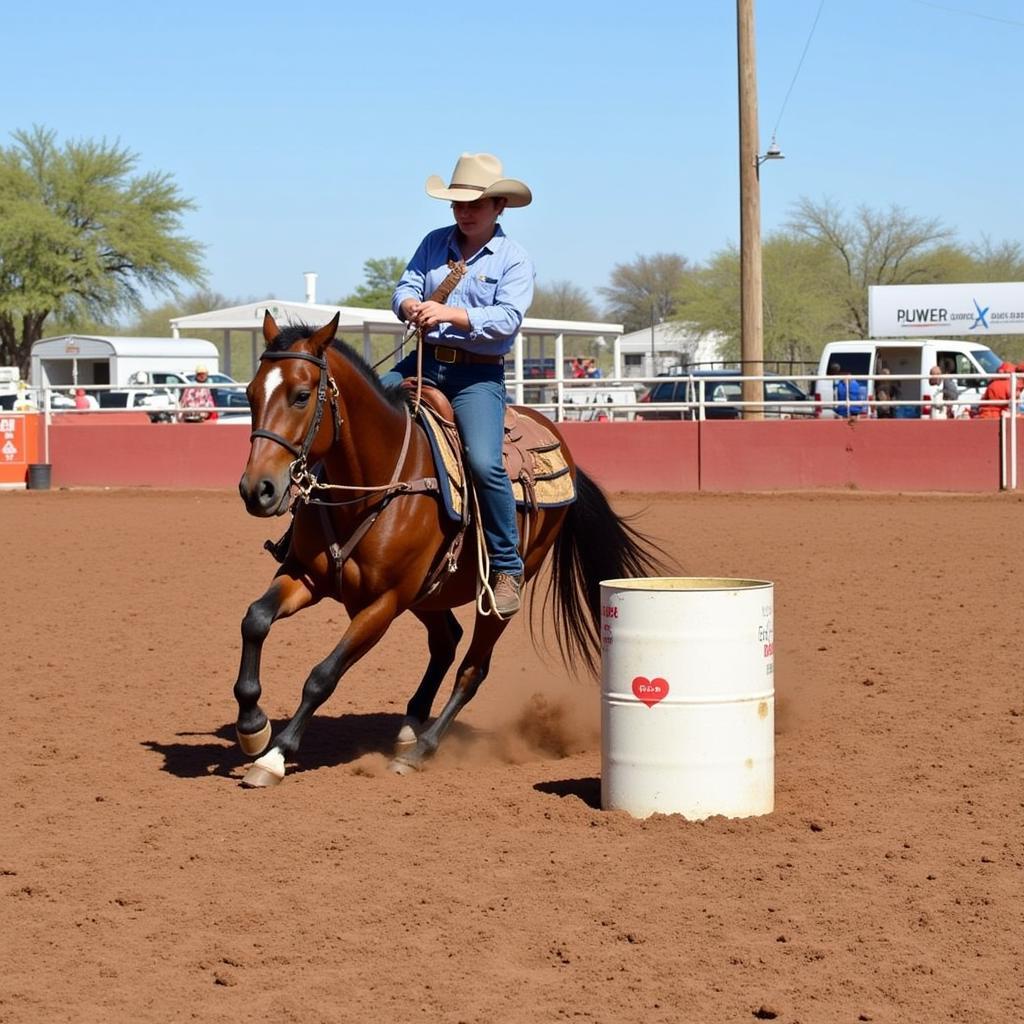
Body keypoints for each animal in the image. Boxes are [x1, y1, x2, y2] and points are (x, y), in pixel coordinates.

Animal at [232, 311, 663, 782]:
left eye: (301, 396)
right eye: (251, 394)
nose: (257, 490)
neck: (376, 482)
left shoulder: (383, 603)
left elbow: (323, 675)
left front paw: (275, 755)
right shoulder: (306, 575)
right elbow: (255, 620)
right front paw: (252, 727)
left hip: (494, 594)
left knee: (472, 668)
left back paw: (420, 750)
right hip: (429, 592)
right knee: (446, 642)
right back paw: (410, 726)